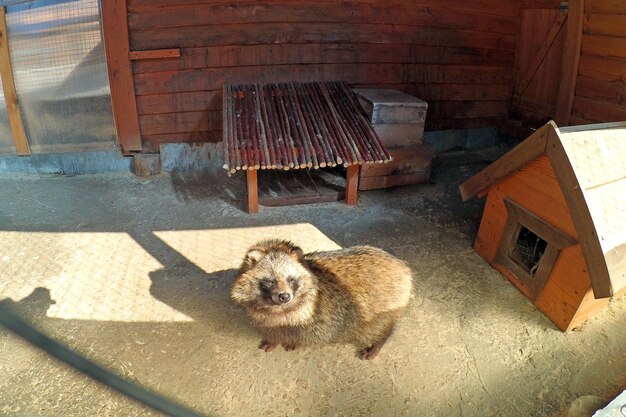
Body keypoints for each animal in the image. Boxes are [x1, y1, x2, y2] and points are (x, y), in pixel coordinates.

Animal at [228, 239, 410, 360]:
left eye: (290, 279)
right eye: (271, 280)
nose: (284, 296)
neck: (277, 307)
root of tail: (402, 267)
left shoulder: (314, 313)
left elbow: (305, 329)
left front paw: (294, 342)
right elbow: (271, 327)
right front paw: (273, 339)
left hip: (384, 306)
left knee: (379, 326)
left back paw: (378, 342)